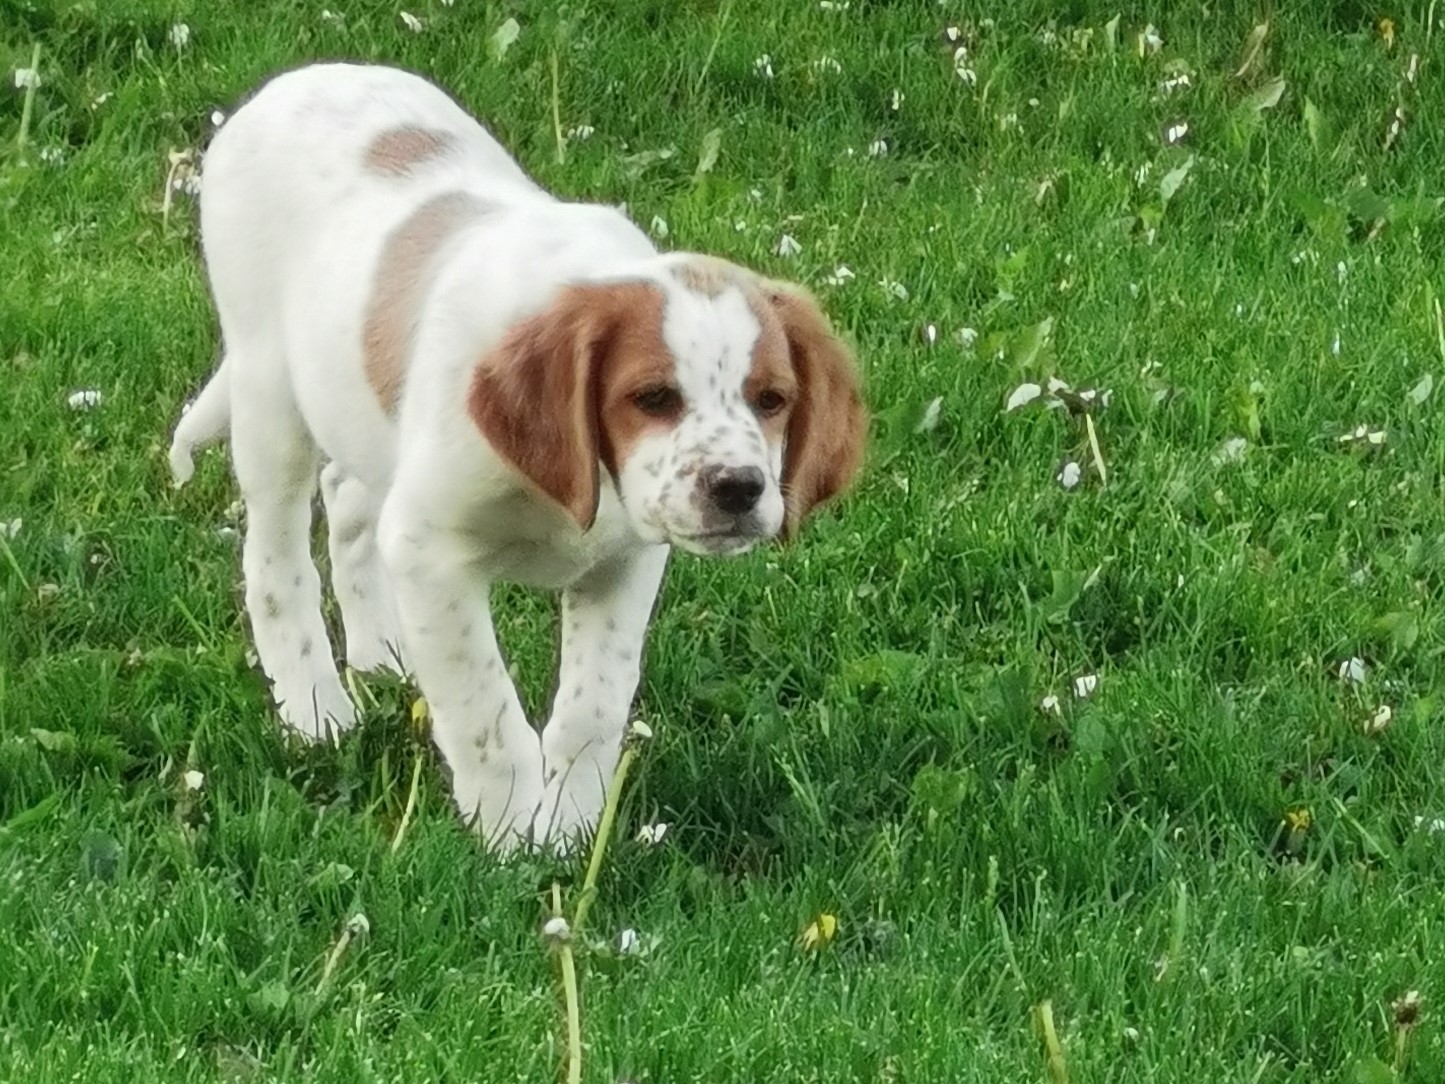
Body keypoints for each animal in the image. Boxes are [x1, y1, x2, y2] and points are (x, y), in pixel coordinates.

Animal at [171, 61, 867, 855]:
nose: (739, 488)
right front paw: (507, 837)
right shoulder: (431, 552)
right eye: (652, 397)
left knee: (347, 497)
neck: (575, 476)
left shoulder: (622, 564)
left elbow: (593, 707)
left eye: (772, 399)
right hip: (271, 392)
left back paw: (382, 656)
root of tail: (297, 78)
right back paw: (315, 710)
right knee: (276, 561)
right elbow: (486, 712)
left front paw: (568, 829)